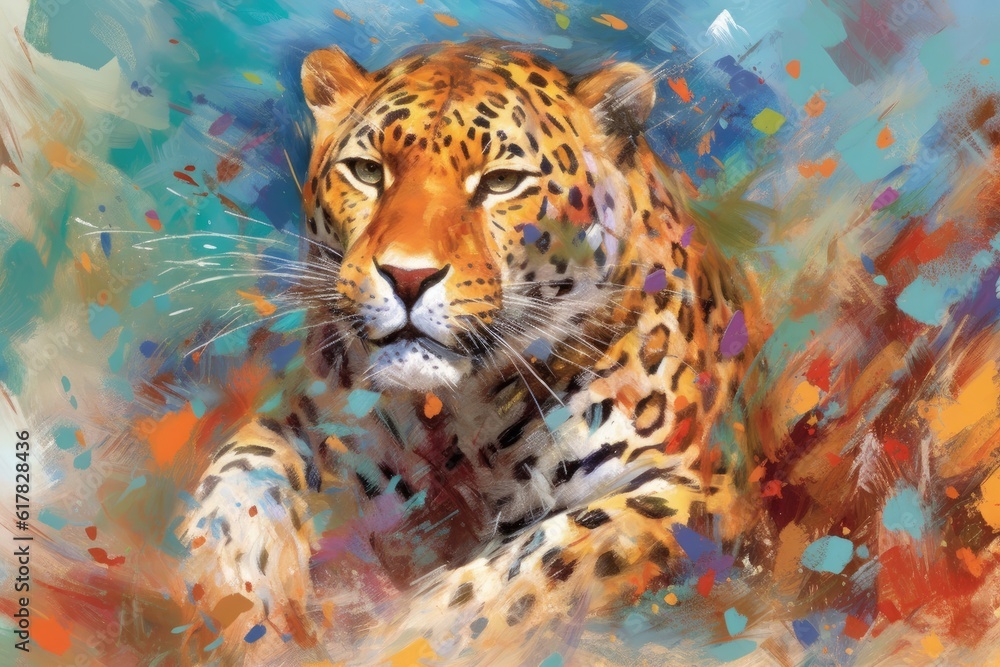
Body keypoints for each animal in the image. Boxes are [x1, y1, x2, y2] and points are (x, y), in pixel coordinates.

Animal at [173, 39, 768, 664]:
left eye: (502, 181)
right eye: (367, 171)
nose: (407, 277)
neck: (458, 418)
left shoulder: (692, 491)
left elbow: (539, 563)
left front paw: (406, 641)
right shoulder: (305, 422)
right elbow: (239, 475)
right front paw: (246, 601)